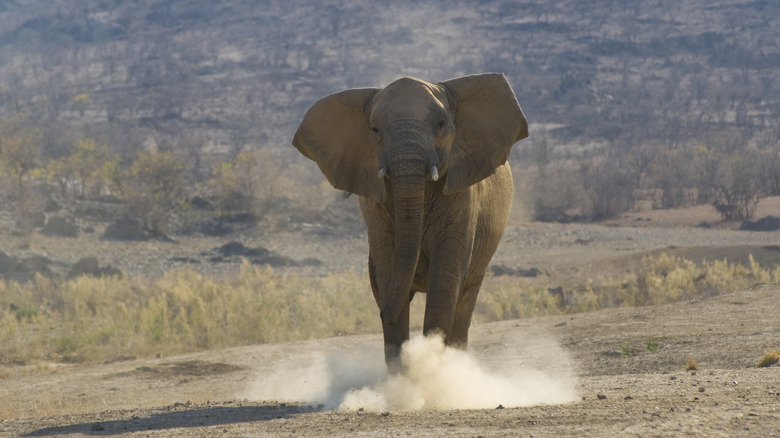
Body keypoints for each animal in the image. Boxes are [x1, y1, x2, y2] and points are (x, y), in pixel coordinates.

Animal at [292, 73, 532, 368]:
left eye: (441, 124)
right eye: (375, 130)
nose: (381, 313)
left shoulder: (463, 196)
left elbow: (445, 279)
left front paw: (431, 368)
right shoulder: (376, 207)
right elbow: (388, 270)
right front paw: (403, 374)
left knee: (465, 302)